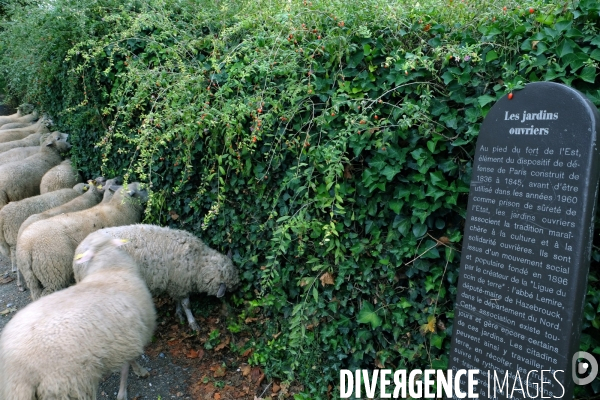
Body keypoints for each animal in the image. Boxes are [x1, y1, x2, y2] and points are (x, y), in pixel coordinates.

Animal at [0, 231, 155, 400]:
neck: (110, 269)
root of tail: (17, 375)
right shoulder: (130, 337)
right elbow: (127, 368)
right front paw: (133, 378)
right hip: (66, 386)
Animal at [16, 183, 148, 298]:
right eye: (142, 188)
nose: (152, 190)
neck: (120, 208)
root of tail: (27, 247)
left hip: (33, 279)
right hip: (53, 273)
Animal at [75, 225, 241, 332]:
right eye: (230, 286)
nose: (238, 288)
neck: (198, 262)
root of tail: (79, 252)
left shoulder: (174, 283)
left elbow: (177, 301)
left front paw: (179, 314)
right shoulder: (181, 282)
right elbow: (187, 304)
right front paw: (192, 322)